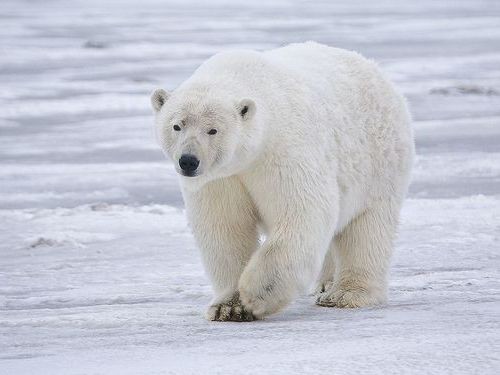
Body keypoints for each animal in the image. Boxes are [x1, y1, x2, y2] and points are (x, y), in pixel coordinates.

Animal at [151, 41, 414, 324]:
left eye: (213, 130)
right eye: (177, 126)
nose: (188, 161)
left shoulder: (283, 150)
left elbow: (302, 212)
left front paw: (255, 295)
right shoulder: (221, 179)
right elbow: (225, 228)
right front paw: (228, 307)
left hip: (378, 161)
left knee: (367, 228)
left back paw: (345, 294)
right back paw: (324, 284)